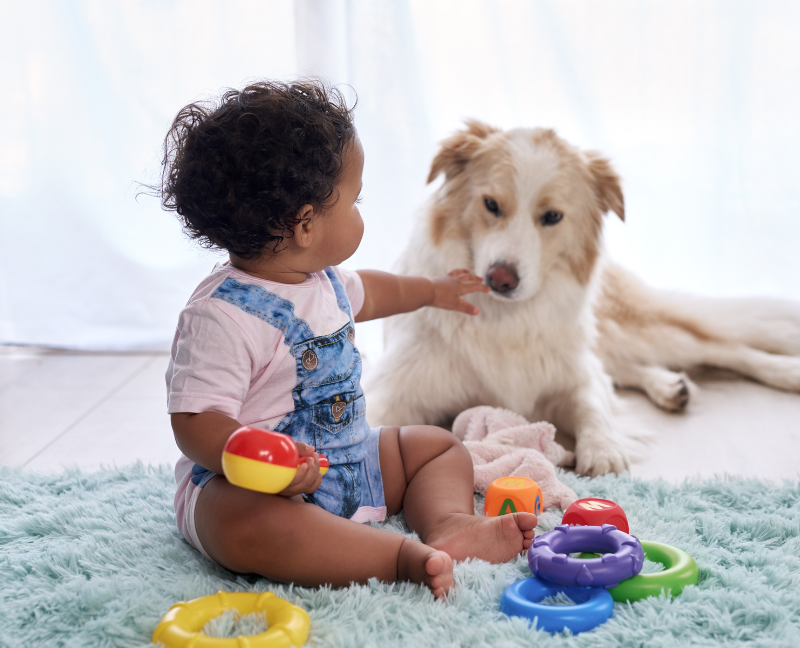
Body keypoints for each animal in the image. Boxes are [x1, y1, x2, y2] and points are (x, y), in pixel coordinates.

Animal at [364, 120, 800, 476]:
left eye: (552, 217)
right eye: (491, 205)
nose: (500, 279)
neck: (507, 319)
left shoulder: (572, 374)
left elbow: (592, 404)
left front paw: (603, 450)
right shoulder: (396, 387)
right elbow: (371, 421)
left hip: (632, 331)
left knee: (724, 347)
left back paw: (785, 373)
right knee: (626, 369)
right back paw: (669, 387)